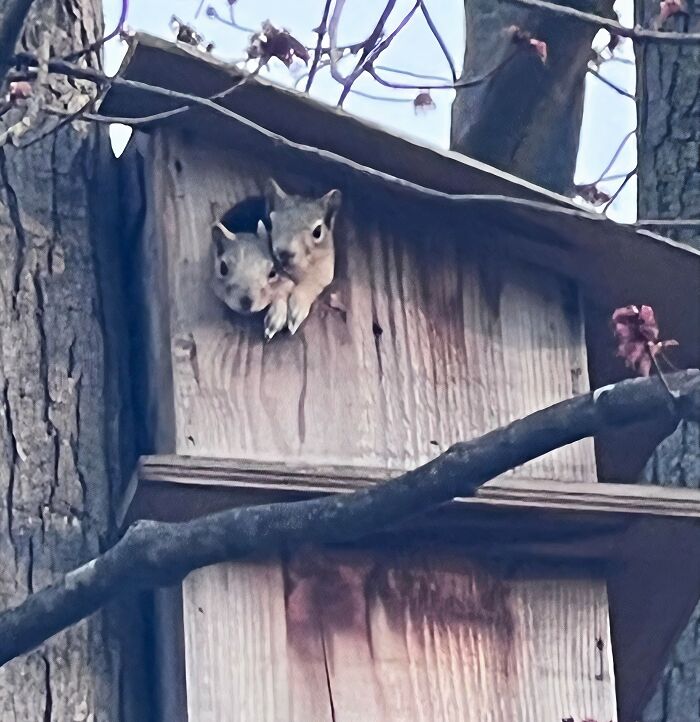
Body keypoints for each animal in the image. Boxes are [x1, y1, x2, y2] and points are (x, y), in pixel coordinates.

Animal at [265, 179, 342, 335]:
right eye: (271, 222)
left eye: (318, 231)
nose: (283, 253)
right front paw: (277, 314)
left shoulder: (325, 272)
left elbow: (312, 285)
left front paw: (297, 308)